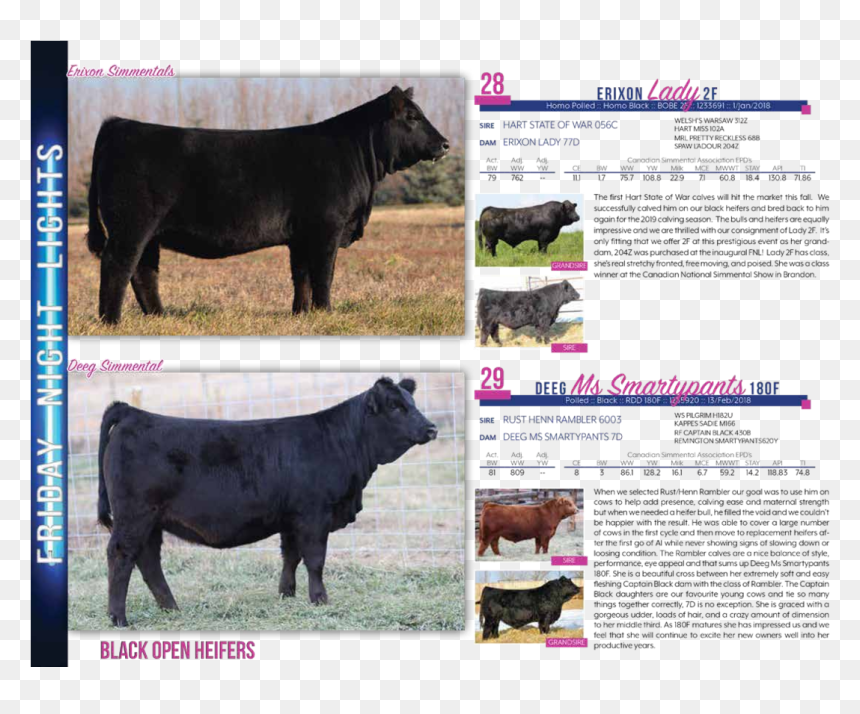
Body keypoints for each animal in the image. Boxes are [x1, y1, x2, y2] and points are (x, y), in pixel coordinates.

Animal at [85, 86, 450, 324]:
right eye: (412, 116)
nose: (445, 143)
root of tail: (120, 124)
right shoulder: (327, 227)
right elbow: (324, 274)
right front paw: (326, 312)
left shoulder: (302, 235)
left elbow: (302, 275)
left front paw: (302, 314)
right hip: (131, 225)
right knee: (118, 265)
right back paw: (111, 321)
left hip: (149, 232)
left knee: (144, 271)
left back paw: (161, 318)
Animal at [95, 376, 437, 627]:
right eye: (395, 407)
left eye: (412, 403)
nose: (432, 428)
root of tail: (132, 412)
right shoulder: (314, 514)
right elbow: (315, 559)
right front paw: (320, 599)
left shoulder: (292, 519)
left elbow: (291, 557)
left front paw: (287, 595)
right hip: (135, 515)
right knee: (121, 555)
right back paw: (119, 618)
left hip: (151, 521)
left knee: (148, 560)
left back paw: (171, 608)